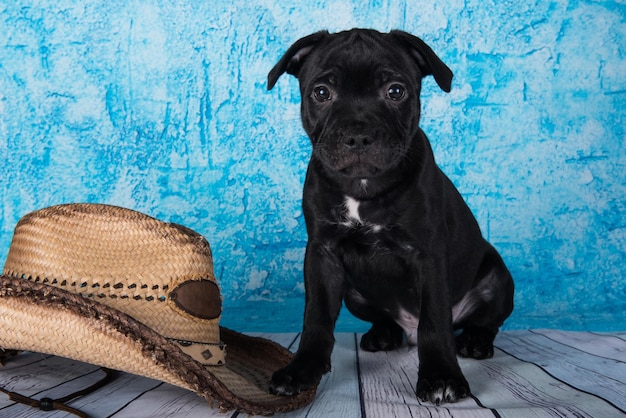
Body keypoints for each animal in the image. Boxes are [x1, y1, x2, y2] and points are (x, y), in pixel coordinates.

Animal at [264, 29, 512, 404]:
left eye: (395, 91)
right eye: (321, 93)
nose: (357, 135)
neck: (364, 188)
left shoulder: (428, 256)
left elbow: (434, 322)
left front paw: (441, 376)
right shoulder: (322, 255)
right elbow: (316, 318)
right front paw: (301, 370)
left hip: (498, 279)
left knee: (483, 321)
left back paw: (474, 341)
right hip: (354, 294)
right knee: (386, 319)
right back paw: (383, 334)